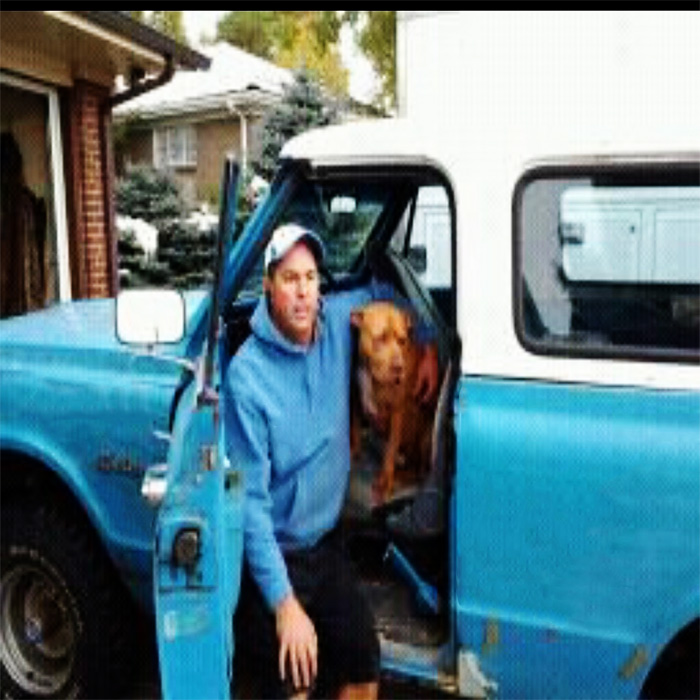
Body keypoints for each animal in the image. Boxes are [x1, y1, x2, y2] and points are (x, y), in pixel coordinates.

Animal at [350, 301, 435, 504]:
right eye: (380, 338)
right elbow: (355, 426)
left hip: (426, 435)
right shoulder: (356, 396)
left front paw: (385, 483)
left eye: (402, 341)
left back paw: (399, 477)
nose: (398, 368)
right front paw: (354, 450)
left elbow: (390, 452)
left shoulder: (398, 412)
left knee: (418, 471)